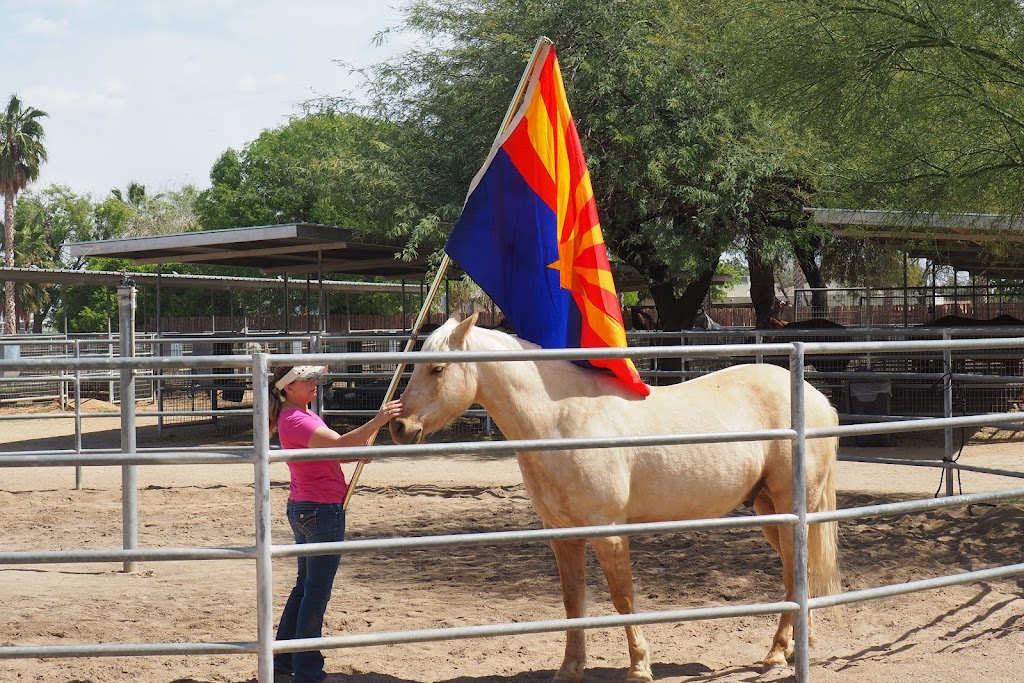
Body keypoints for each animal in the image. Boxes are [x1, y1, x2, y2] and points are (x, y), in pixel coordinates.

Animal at [391, 317, 839, 683]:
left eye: (437, 369)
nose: (399, 426)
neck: (561, 421)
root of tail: (818, 398)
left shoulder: (607, 531)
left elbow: (623, 597)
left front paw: (639, 668)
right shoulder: (563, 534)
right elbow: (573, 600)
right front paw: (570, 669)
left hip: (788, 506)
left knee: (797, 569)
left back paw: (778, 653)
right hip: (770, 510)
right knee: (794, 572)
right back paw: (792, 648)